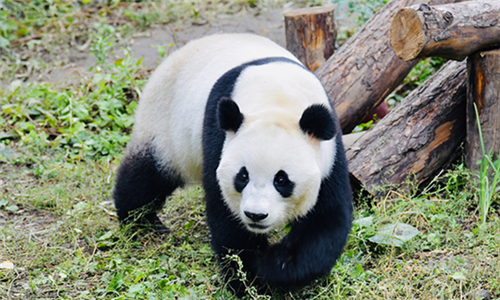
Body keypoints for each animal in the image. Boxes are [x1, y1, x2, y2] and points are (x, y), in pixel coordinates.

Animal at [114, 32, 352, 292]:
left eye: (281, 180)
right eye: (242, 176)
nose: (256, 215)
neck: (278, 99)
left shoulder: (329, 156)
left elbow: (325, 220)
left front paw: (276, 267)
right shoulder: (219, 137)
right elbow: (228, 221)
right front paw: (249, 280)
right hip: (165, 123)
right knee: (146, 176)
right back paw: (142, 223)